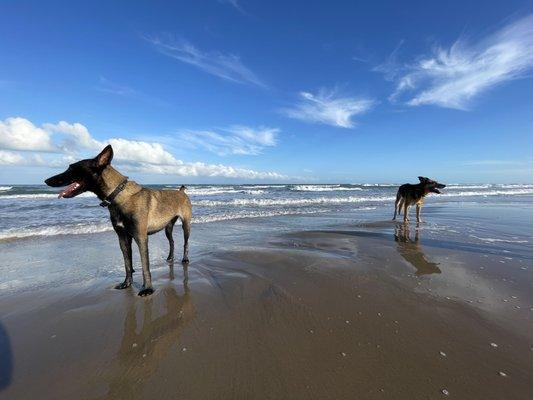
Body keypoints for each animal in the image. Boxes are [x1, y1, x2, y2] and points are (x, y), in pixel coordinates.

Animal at [45, 145, 191, 296]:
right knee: (172, 241)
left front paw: (147, 288)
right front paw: (127, 283)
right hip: (168, 227)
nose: (46, 181)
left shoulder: (141, 238)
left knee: (186, 243)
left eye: (72, 168)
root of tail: (181, 192)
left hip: (186, 225)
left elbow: (145, 265)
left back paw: (185, 259)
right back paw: (170, 257)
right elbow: (127, 263)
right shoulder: (123, 238)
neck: (118, 195)